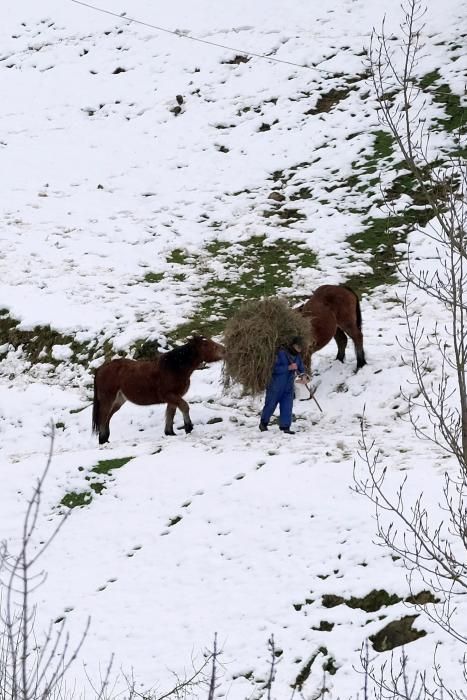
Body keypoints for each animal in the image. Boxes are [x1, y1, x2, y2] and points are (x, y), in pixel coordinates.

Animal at [92, 334, 227, 442]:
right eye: (205, 344)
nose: (224, 350)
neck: (174, 367)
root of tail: (100, 369)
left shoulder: (173, 398)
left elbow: (170, 414)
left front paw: (170, 433)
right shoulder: (169, 395)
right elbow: (184, 407)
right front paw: (188, 427)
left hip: (119, 400)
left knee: (107, 417)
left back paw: (105, 439)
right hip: (108, 399)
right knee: (103, 417)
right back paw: (103, 440)